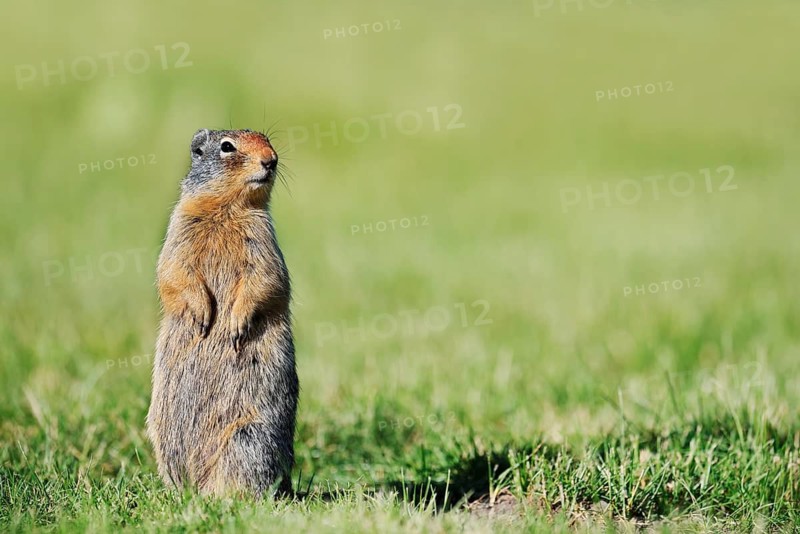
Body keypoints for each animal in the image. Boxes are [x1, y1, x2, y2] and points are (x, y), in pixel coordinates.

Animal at [146, 128, 298, 497]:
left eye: (267, 140)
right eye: (227, 147)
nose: (271, 160)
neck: (226, 209)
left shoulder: (263, 240)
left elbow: (265, 278)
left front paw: (234, 324)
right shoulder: (178, 230)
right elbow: (173, 271)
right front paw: (203, 316)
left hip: (248, 438)